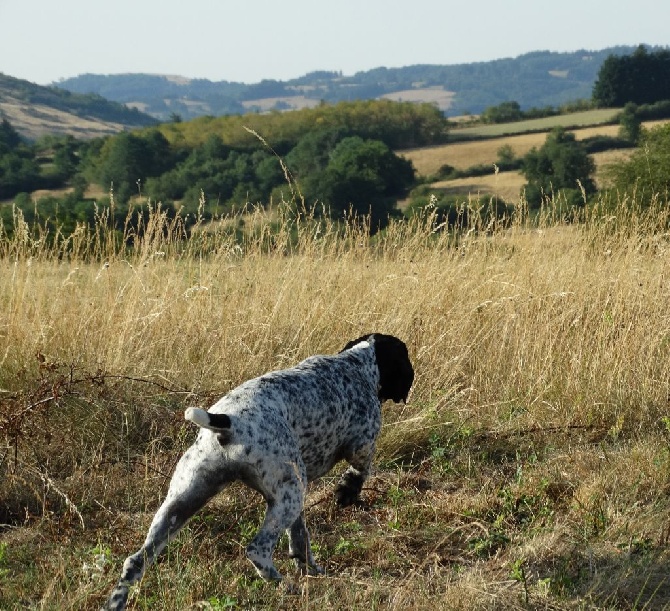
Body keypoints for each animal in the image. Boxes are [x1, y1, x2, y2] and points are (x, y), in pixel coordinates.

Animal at [103, 334, 414, 611]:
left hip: (186, 499)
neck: (356, 363)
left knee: (135, 561)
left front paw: (310, 568)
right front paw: (347, 491)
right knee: (257, 549)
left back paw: (116, 601)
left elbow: (300, 538)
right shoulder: (362, 444)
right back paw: (284, 585)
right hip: (287, 494)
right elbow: (360, 471)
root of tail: (228, 421)